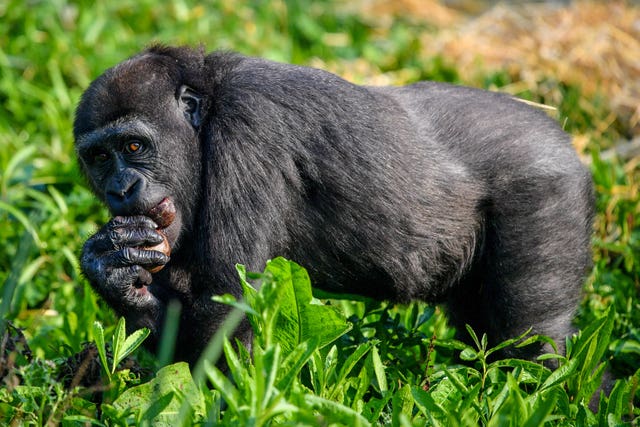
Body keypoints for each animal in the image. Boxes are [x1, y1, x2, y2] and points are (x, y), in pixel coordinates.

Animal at [75, 45, 596, 364]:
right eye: (100, 158)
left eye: (135, 147)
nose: (121, 187)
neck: (208, 104)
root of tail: (561, 136)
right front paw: (112, 270)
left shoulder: (249, 126)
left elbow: (225, 307)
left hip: (547, 186)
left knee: (531, 342)